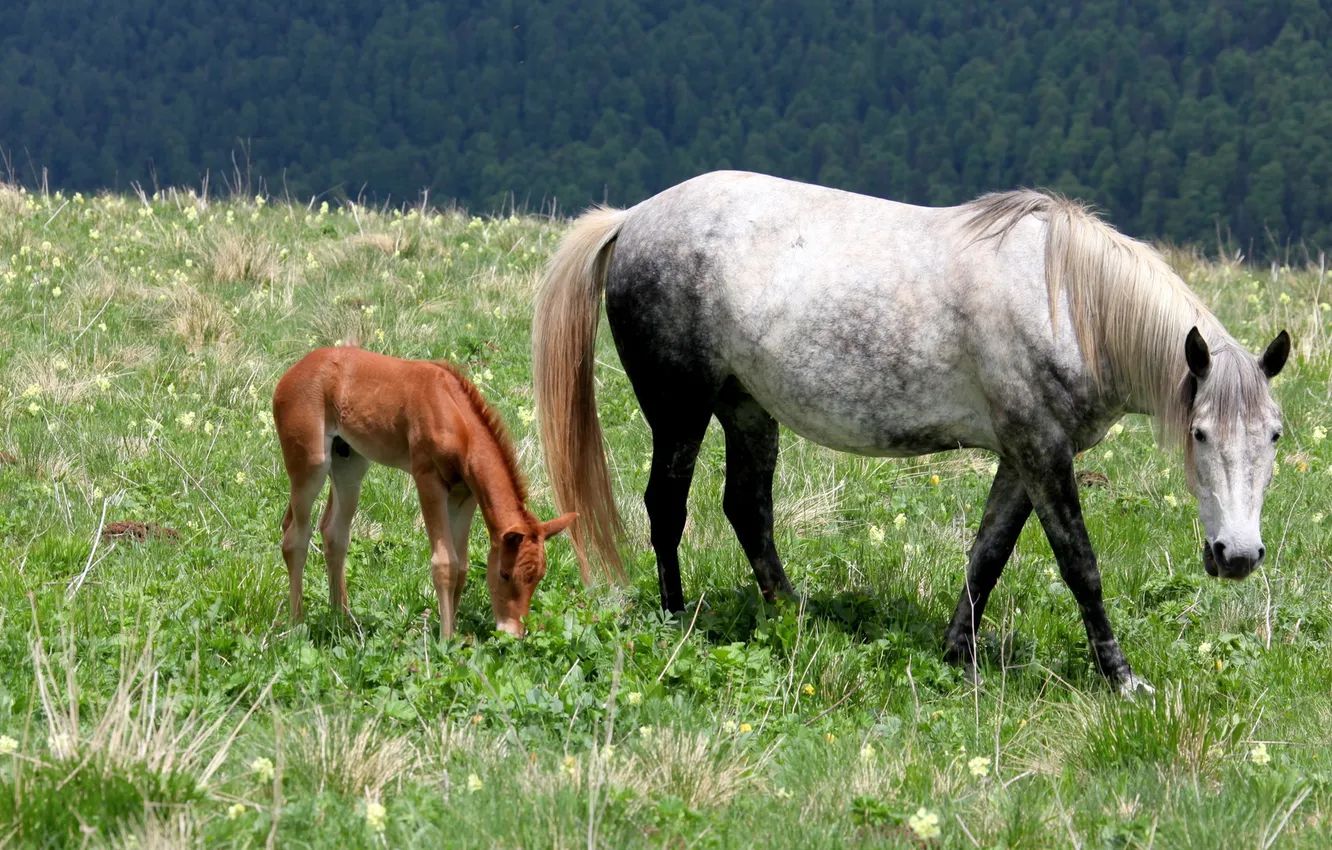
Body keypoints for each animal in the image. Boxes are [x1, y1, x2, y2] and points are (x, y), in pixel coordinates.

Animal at [273, 349, 575, 639]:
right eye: (504, 574)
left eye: (538, 577)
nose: (512, 634)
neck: (453, 412)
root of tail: (291, 373)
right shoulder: (428, 480)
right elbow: (445, 562)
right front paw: (445, 639)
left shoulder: (464, 494)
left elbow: (461, 565)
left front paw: (454, 632)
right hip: (311, 463)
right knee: (295, 536)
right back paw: (296, 625)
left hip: (350, 464)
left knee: (334, 533)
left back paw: (341, 619)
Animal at [532, 169, 1289, 698]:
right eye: (1198, 434)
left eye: (1275, 436)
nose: (1237, 555)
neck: (1066, 301)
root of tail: (633, 219)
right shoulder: (1043, 452)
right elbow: (1081, 566)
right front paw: (1123, 679)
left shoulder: (1023, 457)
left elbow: (987, 555)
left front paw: (959, 656)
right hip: (680, 412)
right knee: (667, 507)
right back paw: (676, 618)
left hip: (747, 409)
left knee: (747, 508)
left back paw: (795, 616)